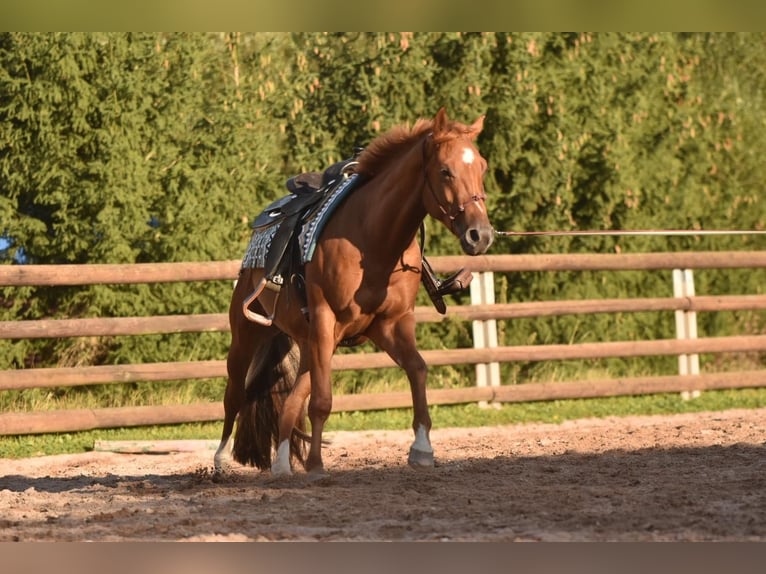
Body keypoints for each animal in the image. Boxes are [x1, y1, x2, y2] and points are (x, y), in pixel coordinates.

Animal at [213, 108, 496, 476]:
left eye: (482, 167)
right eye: (445, 171)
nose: (481, 235)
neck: (373, 239)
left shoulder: (390, 324)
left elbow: (417, 370)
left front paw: (421, 448)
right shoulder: (325, 319)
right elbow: (321, 401)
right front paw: (317, 465)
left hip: (311, 344)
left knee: (291, 400)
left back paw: (282, 464)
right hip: (249, 334)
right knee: (235, 393)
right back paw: (221, 459)